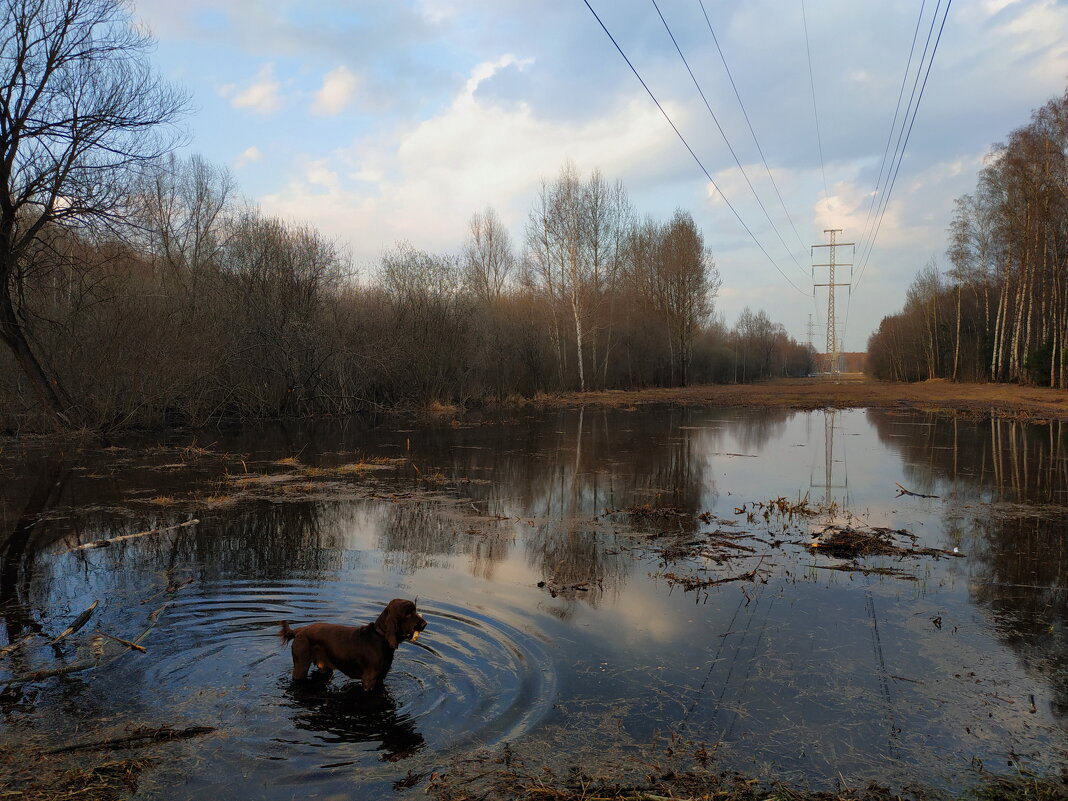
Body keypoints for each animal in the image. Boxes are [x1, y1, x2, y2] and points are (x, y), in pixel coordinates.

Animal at [281, 598, 427, 692]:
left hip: (325, 668)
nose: (425, 624)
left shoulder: (381, 676)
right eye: (408, 613)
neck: (380, 637)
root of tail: (299, 630)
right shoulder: (370, 679)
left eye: (415, 610)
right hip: (301, 665)